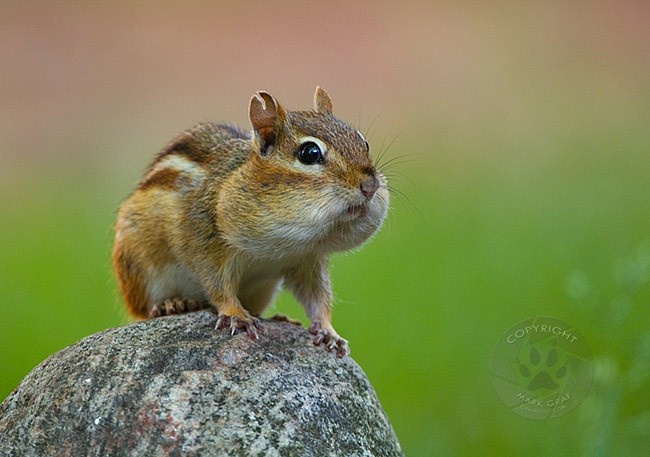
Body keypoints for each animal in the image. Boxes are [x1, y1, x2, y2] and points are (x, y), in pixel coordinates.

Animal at [112, 87, 389, 357]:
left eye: (363, 142)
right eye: (310, 153)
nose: (370, 186)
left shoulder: (307, 258)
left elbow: (318, 295)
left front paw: (328, 330)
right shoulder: (203, 237)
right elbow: (217, 284)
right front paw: (236, 314)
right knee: (145, 310)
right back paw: (174, 303)